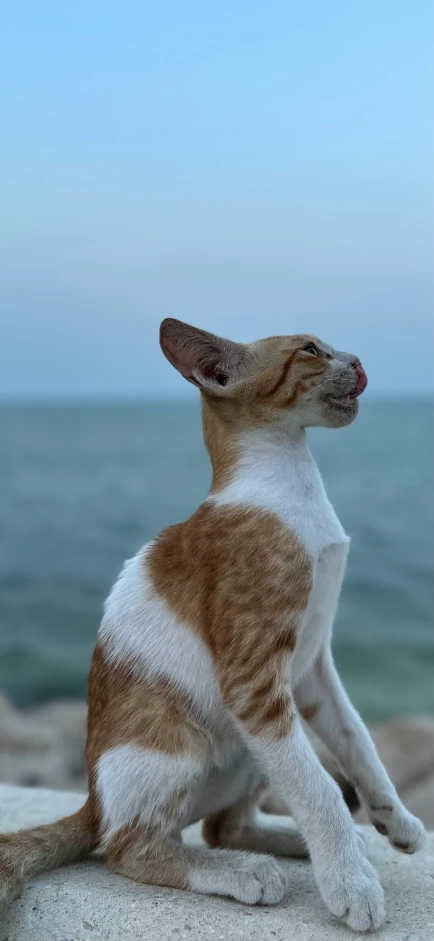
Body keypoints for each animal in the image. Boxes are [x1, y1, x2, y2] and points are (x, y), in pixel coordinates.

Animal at [0, 318, 424, 932]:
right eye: (311, 351)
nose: (359, 361)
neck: (289, 487)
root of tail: (93, 801)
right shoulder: (253, 683)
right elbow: (320, 786)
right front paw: (351, 882)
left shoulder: (310, 672)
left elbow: (358, 742)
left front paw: (397, 823)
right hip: (181, 746)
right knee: (130, 847)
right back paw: (243, 872)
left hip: (255, 751)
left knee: (221, 825)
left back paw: (287, 844)